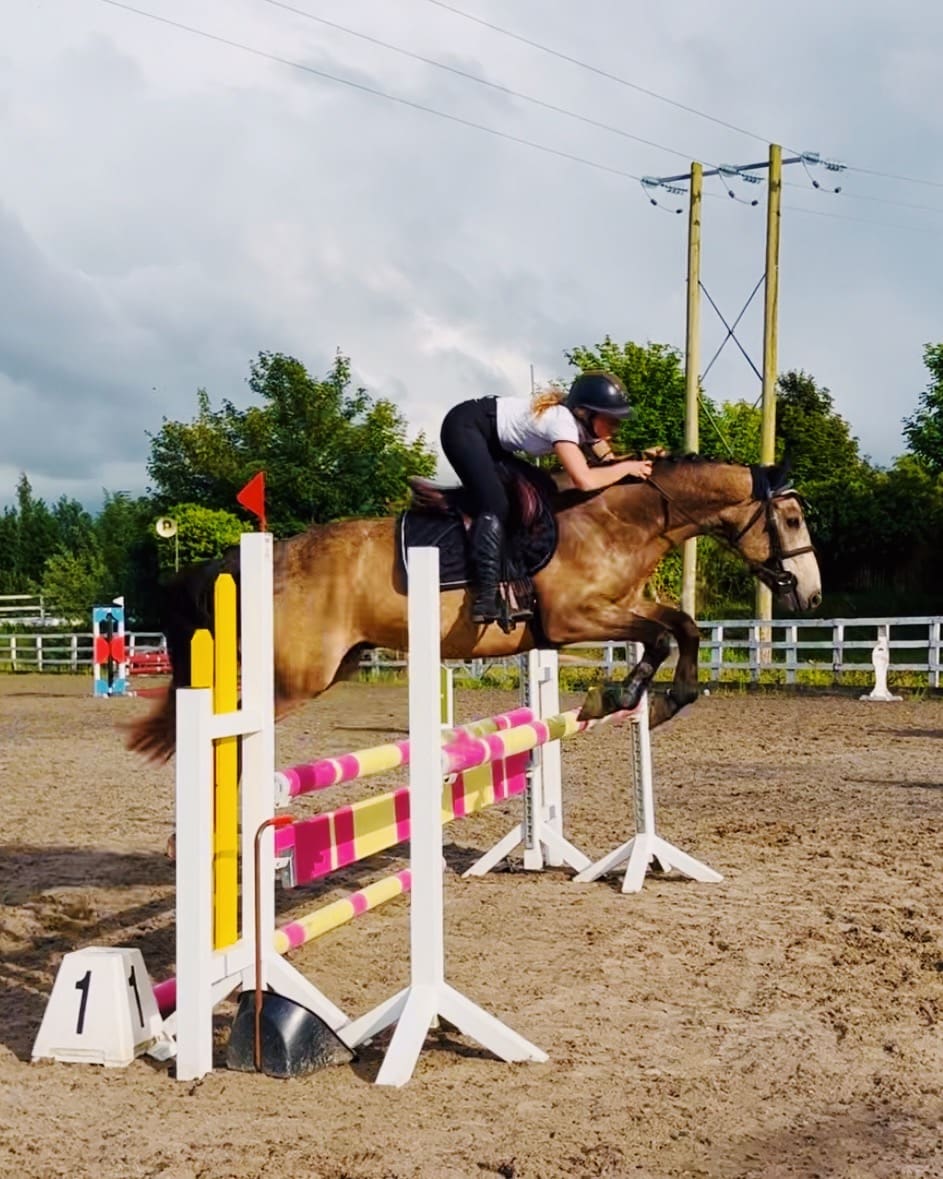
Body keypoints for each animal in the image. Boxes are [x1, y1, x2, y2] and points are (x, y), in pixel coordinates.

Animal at [127, 455, 821, 762]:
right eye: (789, 517)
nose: (811, 595)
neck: (616, 519)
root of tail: (255, 559)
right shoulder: (573, 619)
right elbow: (661, 636)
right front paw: (619, 698)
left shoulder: (624, 605)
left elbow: (680, 627)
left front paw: (656, 701)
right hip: (294, 678)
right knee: (229, 726)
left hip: (329, 667)